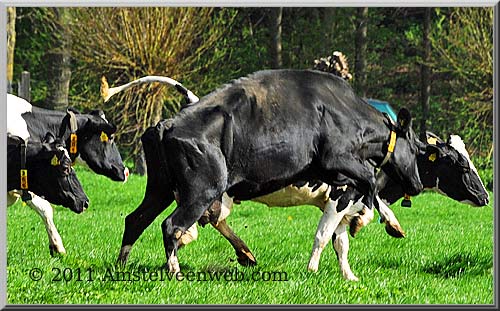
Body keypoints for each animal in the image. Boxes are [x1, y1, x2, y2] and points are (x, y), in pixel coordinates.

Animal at [115, 69, 424, 272]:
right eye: (416, 146)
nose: (419, 185)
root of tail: (167, 123)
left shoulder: (338, 189)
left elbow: (341, 239)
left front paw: (349, 273)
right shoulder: (338, 169)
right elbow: (360, 198)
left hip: (162, 188)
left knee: (136, 220)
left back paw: (122, 266)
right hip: (202, 190)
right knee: (174, 225)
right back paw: (176, 270)